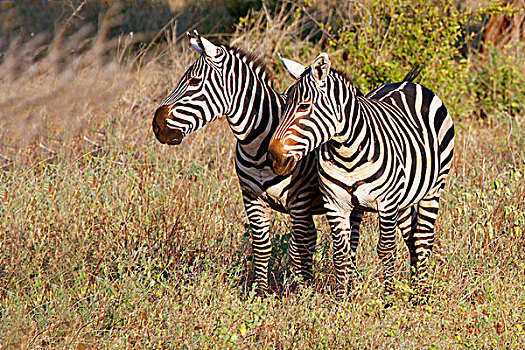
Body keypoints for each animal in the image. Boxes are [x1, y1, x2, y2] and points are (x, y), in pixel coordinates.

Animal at [150, 32, 324, 296]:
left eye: (194, 81)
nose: (156, 126)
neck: (258, 145)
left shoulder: (300, 200)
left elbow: (299, 247)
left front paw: (301, 292)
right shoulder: (250, 196)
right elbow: (262, 246)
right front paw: (261, 293)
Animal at [268, 52, 452, 300]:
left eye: (304, 106)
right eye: (284, 103)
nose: (273, 157)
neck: (346, 153)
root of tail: (409, 83)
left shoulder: (387, 203)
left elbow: (386, 250)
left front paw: (389, 299)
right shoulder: (335, 204)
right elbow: (341, 254)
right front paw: (341, 300)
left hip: (433, 189)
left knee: (423, 238)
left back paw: (420, 297)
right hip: (403, 199)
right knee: (411, 237)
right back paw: (413, 288)